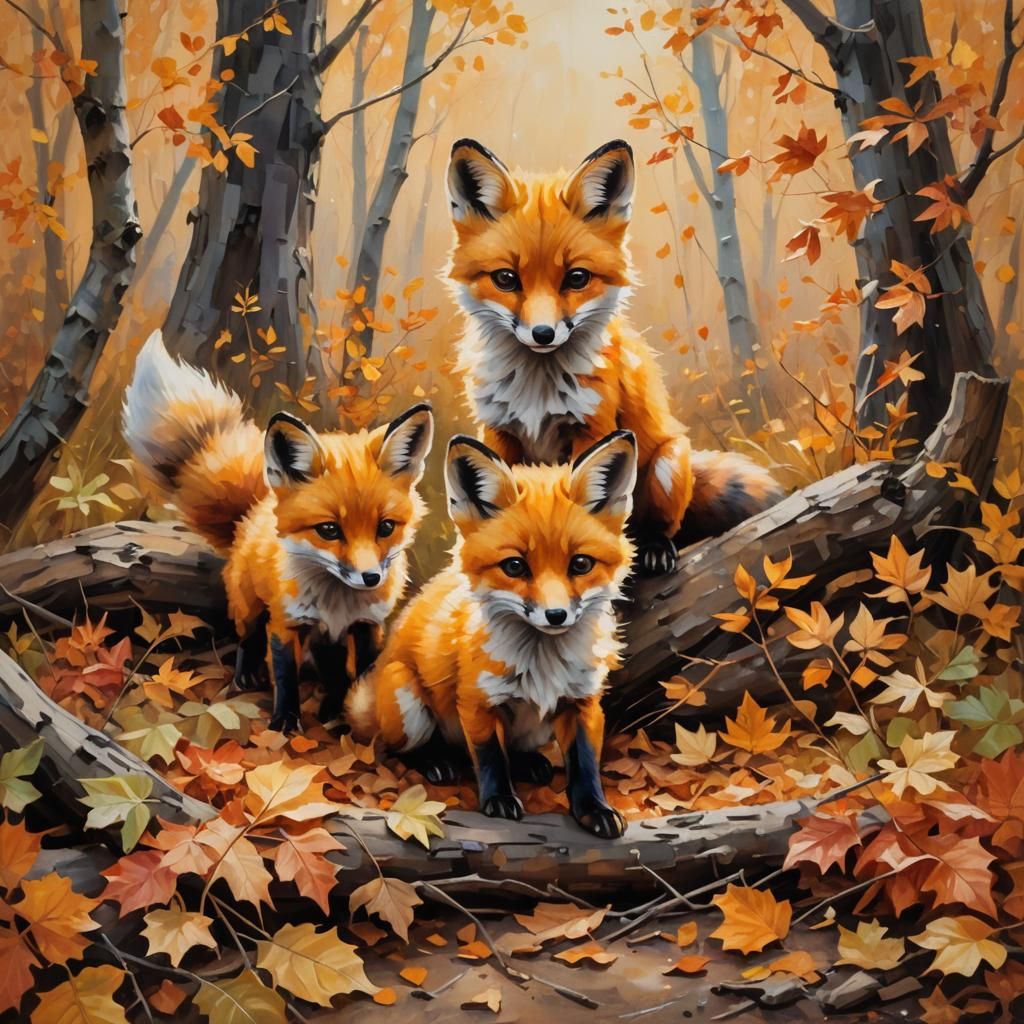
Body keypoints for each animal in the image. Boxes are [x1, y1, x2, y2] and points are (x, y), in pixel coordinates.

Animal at [122, 332, 434, 733]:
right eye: (329, 530)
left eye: (385, 527)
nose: (370, 578)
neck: (336, 603)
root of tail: (253, 511)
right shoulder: (286, 622)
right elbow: (286, 676)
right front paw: (285, 720)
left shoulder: (367, 626)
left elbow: (361, 675)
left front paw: (346, 715)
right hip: (250, 607)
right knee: (248, 639)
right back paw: (246, 675)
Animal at [346, 429, 639, 839]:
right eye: (514, 566)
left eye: (581, 564)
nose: (556, 615)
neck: (542, 664)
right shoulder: (476, 701)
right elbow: (489, 758)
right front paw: (498, 800)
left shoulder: (583, 704)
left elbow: (584, 765)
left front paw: (595, 810)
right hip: (407, 698)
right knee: (397, 748)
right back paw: (436, 761)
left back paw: (529, 763)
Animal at [445, 137, 783, 576]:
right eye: (506, 279)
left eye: (577, 278)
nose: (543, 334)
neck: (536, 390)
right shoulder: (498, 433)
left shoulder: (592, 428)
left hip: (667, 464)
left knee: (659, 528)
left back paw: (654, 547)